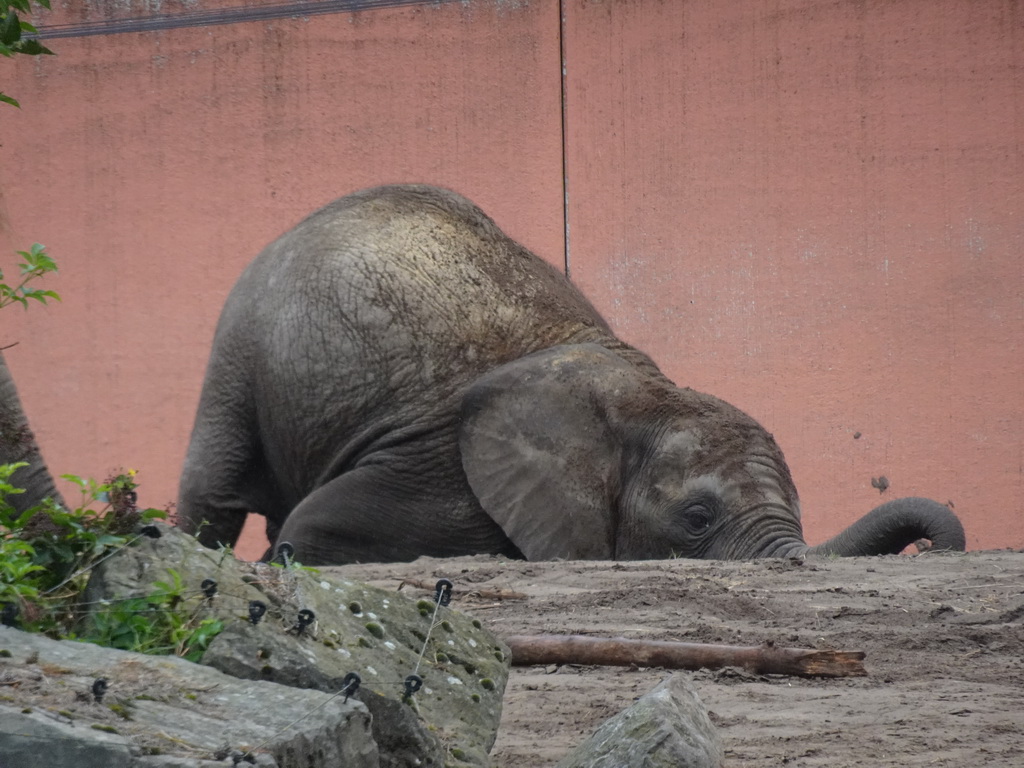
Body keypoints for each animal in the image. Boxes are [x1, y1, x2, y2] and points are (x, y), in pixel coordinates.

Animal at [178, 181, 966, 565]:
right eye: (697, 518)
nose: (929, 546)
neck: (641, 393)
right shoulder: (440, 464)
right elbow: (312, 534)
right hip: (238, 352)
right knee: (216, 493)